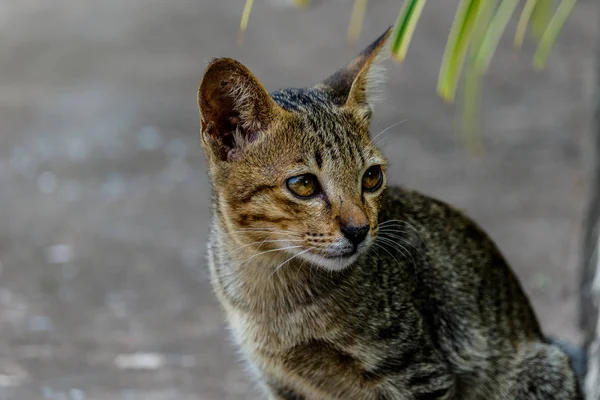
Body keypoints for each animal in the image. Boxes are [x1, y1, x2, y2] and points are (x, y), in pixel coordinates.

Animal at [199, 26, 584, 398]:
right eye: (303, 184)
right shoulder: (278, 382)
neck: (272, 296)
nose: (359, 230)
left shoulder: (418, 371)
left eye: (372, 177)